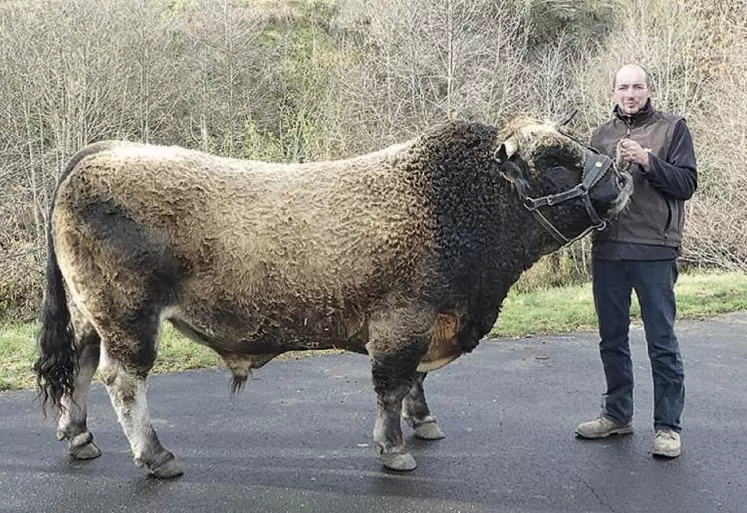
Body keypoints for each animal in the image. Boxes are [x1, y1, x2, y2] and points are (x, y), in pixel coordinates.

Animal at [33, 116, 632, 476]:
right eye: (554, 160)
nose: (624, 177)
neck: (455, 203)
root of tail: (107, 151)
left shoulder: (426, 321)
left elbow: (414, 383)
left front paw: (423, 423)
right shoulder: (403, 321)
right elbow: (391, 386)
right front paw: (395, 448)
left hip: (91, 315)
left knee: (80, 365)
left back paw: (78, 436)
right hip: (128, 317)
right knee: (121, 380)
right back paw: (156, 456)